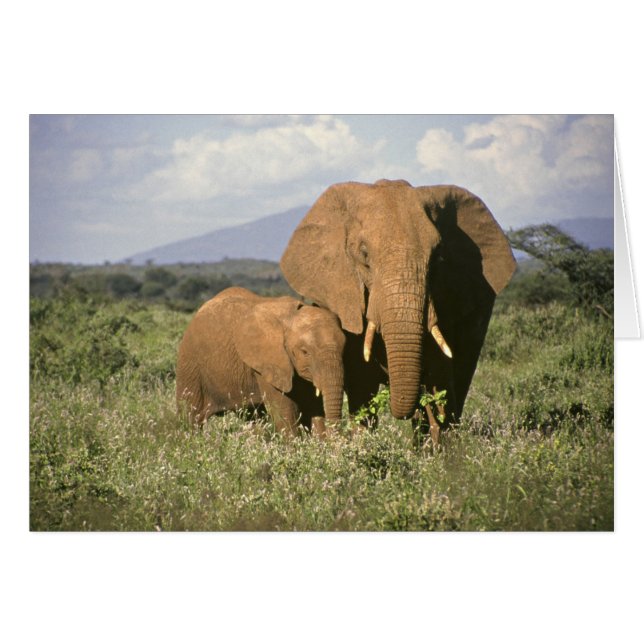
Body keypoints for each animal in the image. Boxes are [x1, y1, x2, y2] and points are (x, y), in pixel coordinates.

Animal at [175, 286, 345, 437]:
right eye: (305, 352)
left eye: (344, 348)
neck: (291, 317)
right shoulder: (268, 362)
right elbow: (284, 410)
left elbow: (313, 405)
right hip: (190, 364)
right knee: (190, 417)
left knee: (254, 417)